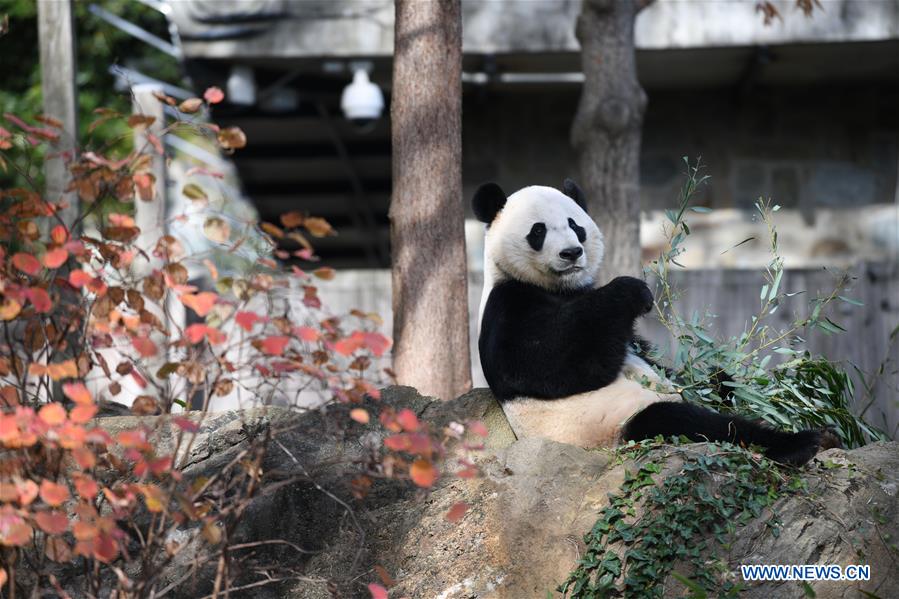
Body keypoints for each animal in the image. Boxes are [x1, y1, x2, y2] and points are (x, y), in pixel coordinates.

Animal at [478, 180, 828, 466]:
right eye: (538, 231)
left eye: (574, 225)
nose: (571, 253)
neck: (560, 288)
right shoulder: (509, 304)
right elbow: (550, 362)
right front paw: (635, 293)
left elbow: (643, 352)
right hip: (612, 426)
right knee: (685, 421)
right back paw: (797, 444)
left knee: (718, 386)